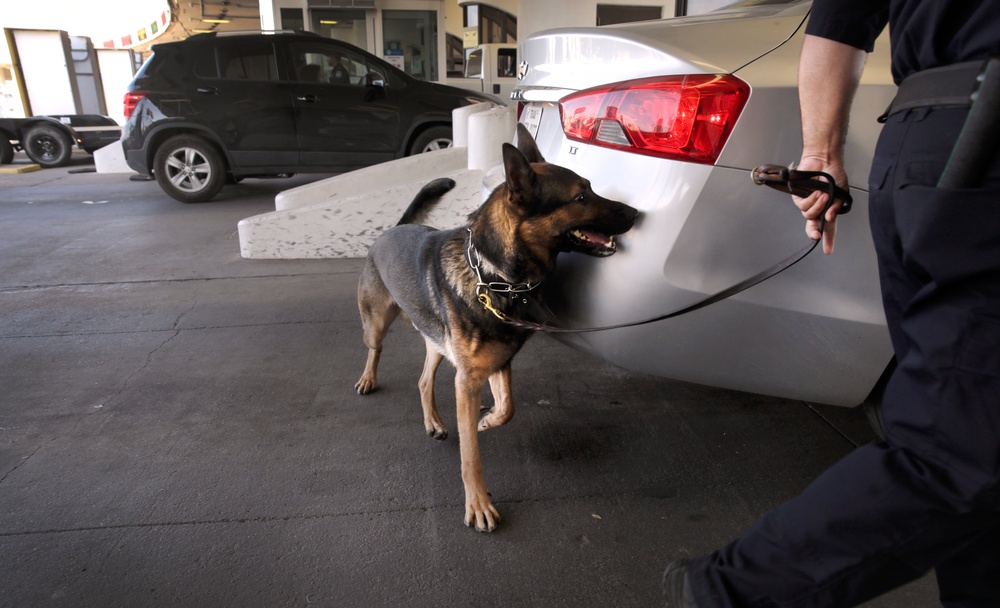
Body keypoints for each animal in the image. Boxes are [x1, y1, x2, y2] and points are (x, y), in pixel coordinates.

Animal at [356, 124, 636, 532]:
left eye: (590, 188)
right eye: (581, 197)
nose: (636, 213)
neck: (494, 275)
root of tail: (395, 228)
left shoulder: (495, 364)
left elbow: (508, 408)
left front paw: (486, 420)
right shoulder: (468, 379)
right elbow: (470, 455)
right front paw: (478, 504)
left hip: (438, 343)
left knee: (424, 381)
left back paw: (434, 421)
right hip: (376, 323)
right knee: (374, 349)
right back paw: (367, 378)